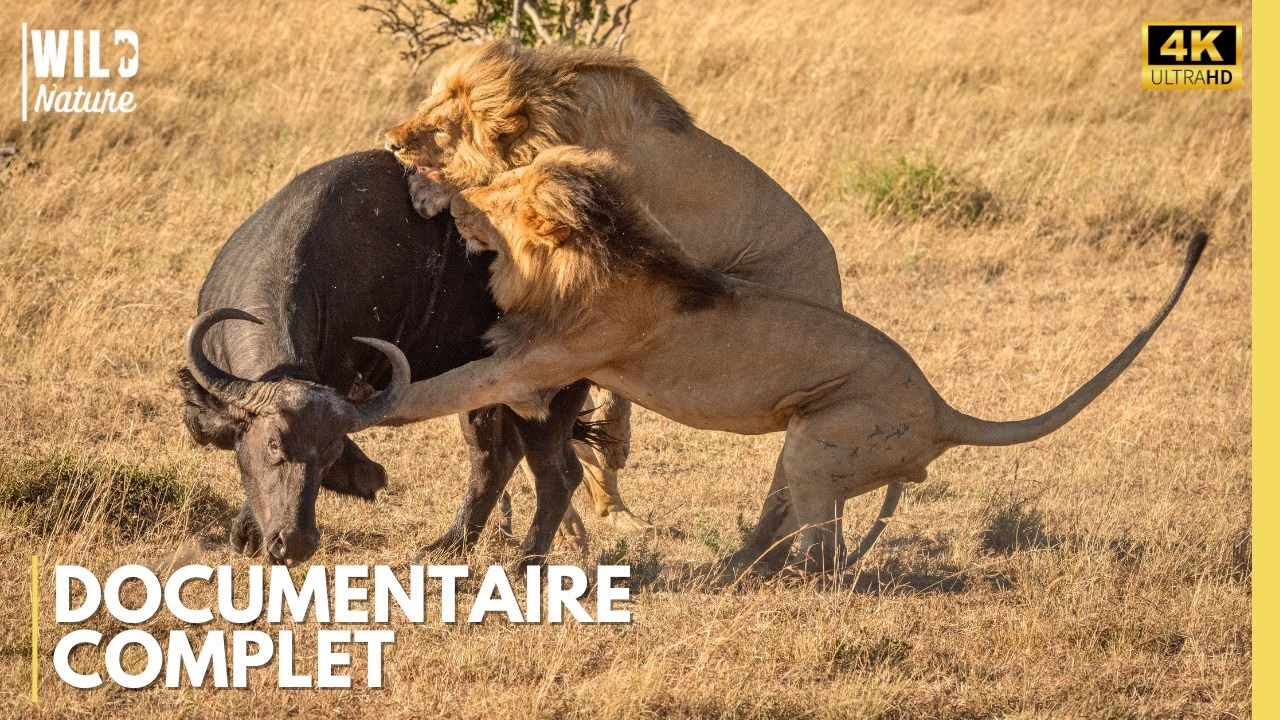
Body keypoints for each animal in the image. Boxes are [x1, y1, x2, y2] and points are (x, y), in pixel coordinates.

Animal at [380, 147, 1207, 574]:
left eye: (493, 191)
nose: (427, 181)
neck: (604, 250)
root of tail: (942, 411)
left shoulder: (547, 357)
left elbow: (447, 386)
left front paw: (375, 399)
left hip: (827, 441)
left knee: (825, 553)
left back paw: (782, 582)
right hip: (807, 440)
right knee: (791, 521)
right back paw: (736, 567)